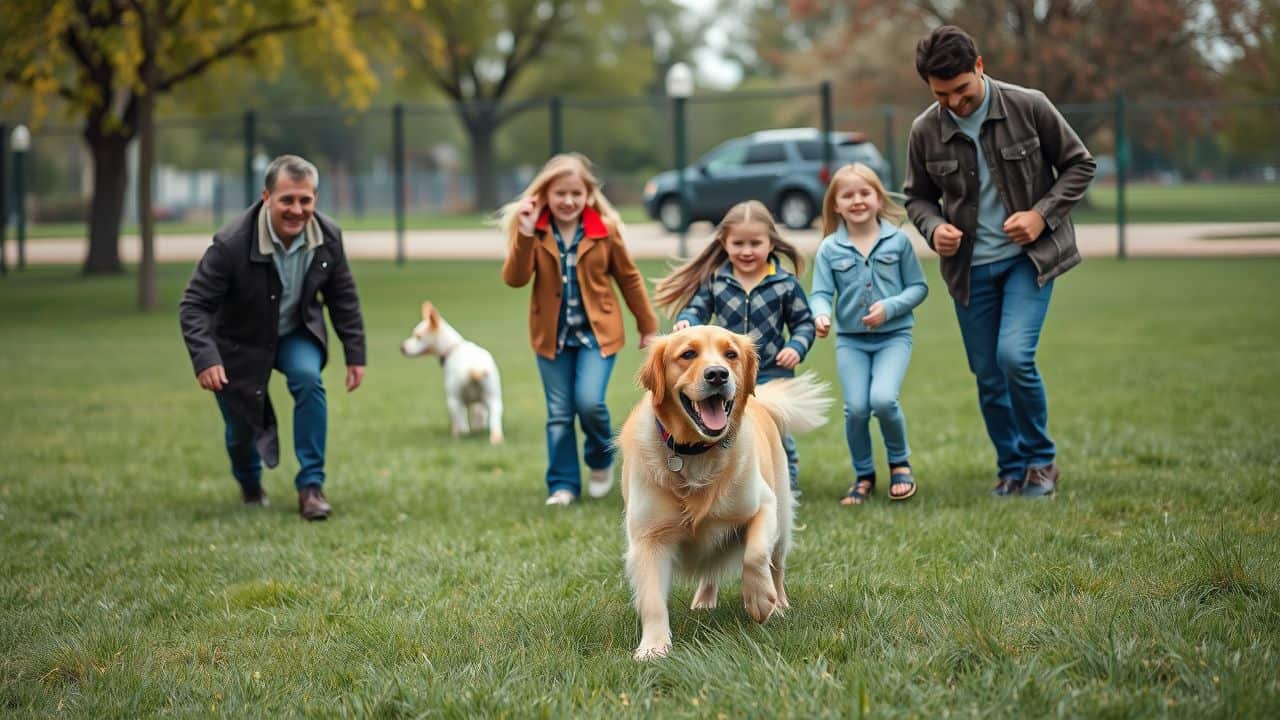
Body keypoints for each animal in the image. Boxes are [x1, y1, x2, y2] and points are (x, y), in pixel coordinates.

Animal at [399, 298, 504, 443]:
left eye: (418, 336)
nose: (402, 348)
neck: (453, 348)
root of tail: (473, 368)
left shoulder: (457, 400)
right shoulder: (478, 403)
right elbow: (478, 416)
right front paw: (479, 428)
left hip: (454, 401)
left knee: (462, 427)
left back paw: (458, 436)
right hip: (493, 398)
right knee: (495, 425)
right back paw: (494, 439)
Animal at [616, 324, 829, 655]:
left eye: (731, 354)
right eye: (688, 354)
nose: (717, 374)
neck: (696, 453)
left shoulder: (764, 504)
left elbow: (755, 555)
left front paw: (759, 600)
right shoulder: (647, 538)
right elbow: (652, 600)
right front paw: (653, 648)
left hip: (782, 519)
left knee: (776, 566)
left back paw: (779, 603)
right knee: (710, 570)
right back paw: (704, 601)